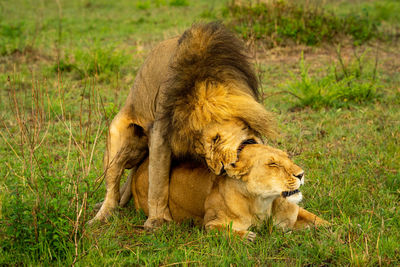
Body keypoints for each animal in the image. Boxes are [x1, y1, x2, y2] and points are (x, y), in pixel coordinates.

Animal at [91, 22, 278, 229]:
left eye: (216, 139)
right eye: (203, 151)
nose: (220, 169)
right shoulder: (160, 133)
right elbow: (158, 183)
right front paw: (156, 221)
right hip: (118, 142)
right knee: (112, 187)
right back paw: (102, 215)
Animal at [133, 144, 330, 241]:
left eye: (288, 157)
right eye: (273, 164)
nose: (301, 174)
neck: (262, 203)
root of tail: (141, 165)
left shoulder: (293, 213)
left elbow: (314, 218)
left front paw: (331, 228)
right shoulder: (210, 224)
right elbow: (223, 230)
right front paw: (247, 236)